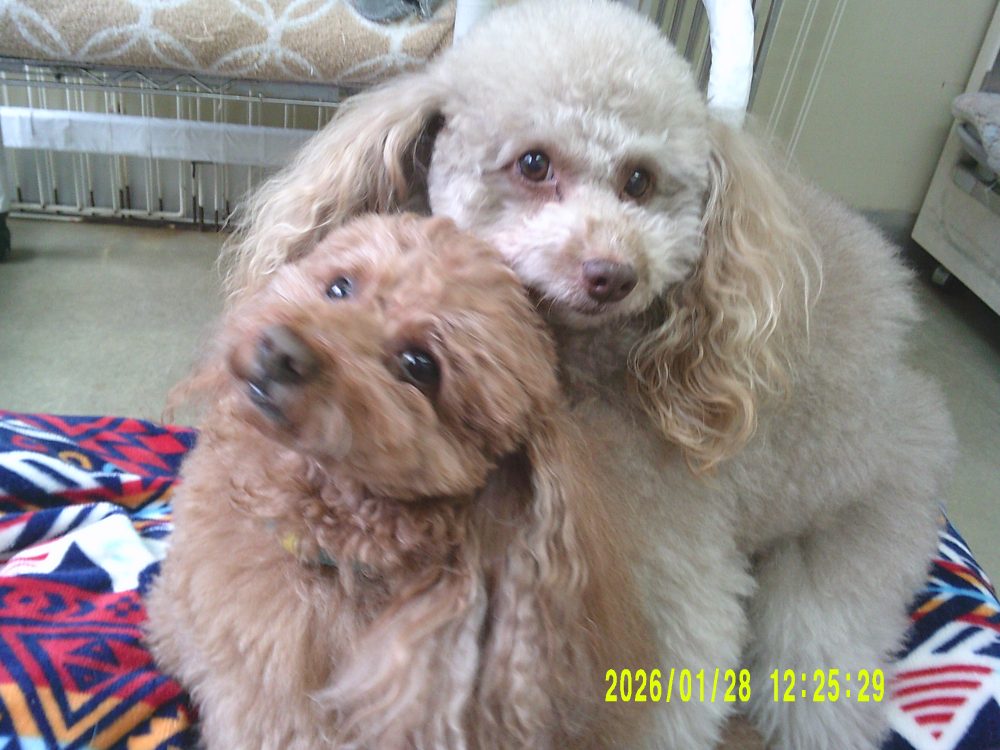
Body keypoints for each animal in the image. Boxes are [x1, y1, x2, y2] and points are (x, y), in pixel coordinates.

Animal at [217, 2, 956, 747]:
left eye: (640, 180)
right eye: (533, 163)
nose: (612, 274)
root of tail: (919, 406)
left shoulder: (667, 573)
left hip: (842, 567)